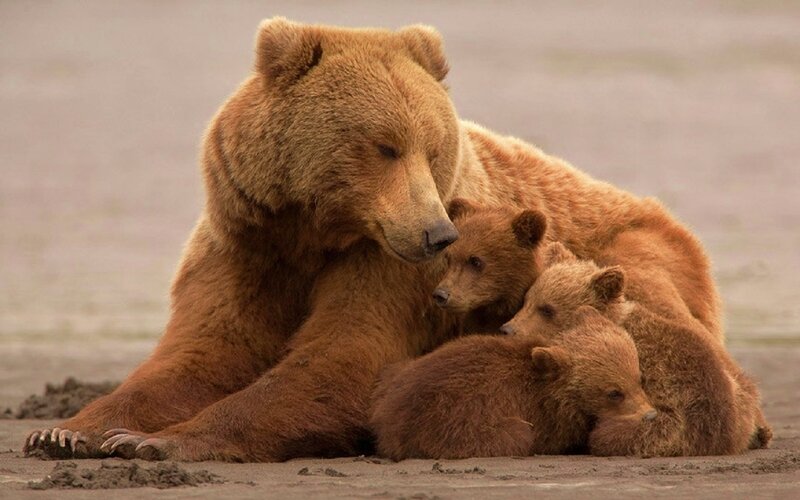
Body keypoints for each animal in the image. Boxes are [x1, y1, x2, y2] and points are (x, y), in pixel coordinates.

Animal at [369, 307, 654, 460]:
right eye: (614, 392)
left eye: (639, 378)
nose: (650, 414)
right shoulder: (543, 416)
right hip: (452, 421)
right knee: (516, 434)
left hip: (396, 373)